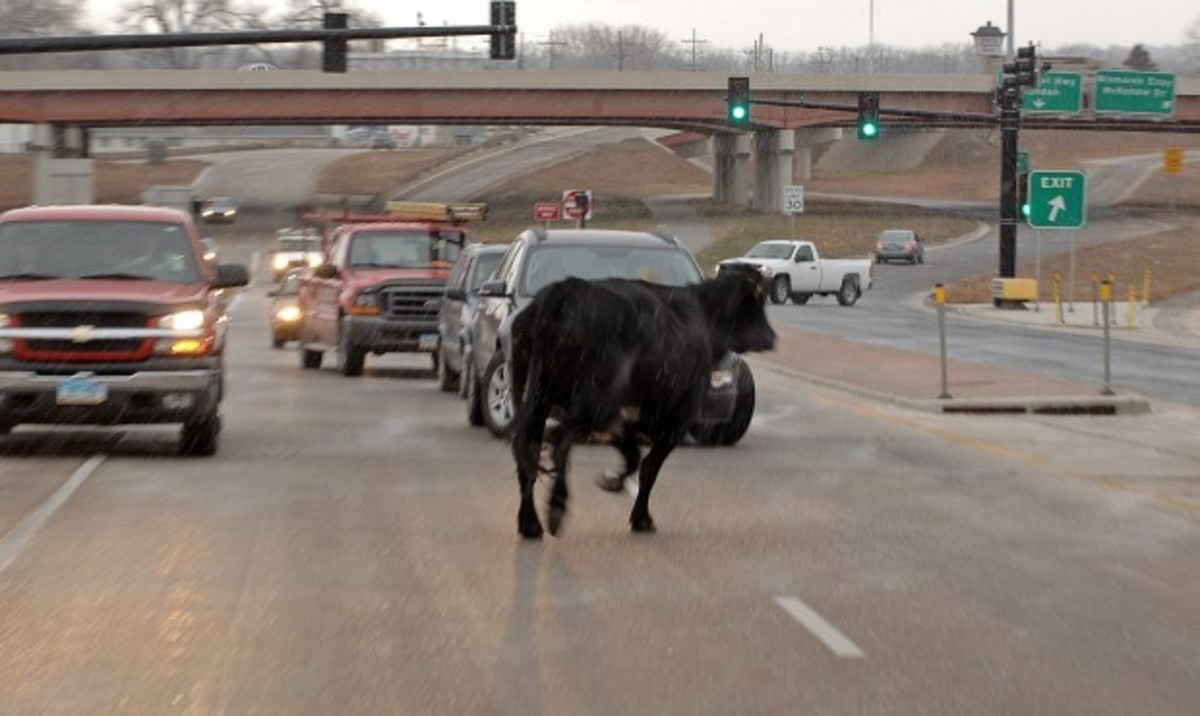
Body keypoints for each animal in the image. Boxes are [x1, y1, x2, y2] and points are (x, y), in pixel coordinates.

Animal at [508, 268, 777, 537]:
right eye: (757, 303)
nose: (772, 337)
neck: (703, 317)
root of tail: (561, 293)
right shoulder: (676, 419)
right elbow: (649, 467)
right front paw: (641, 519)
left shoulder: (625, 419)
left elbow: (633, 457)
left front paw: (612, 481)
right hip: (593, 405)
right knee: (559, 442)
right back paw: (556, 508)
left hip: (535, 399)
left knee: (529, 451)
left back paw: (529, 523)